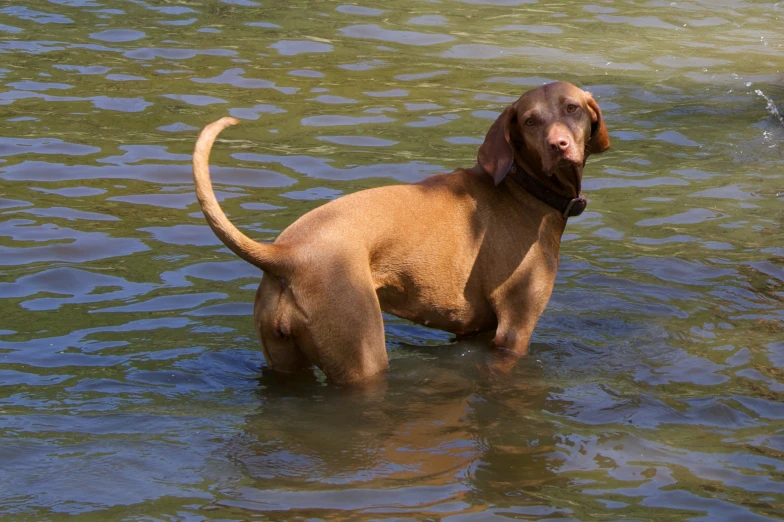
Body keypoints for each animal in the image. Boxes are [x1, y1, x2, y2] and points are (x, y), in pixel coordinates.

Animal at [193, 80, 608, 382]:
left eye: (571, 108)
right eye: (529, 120)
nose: (559, 145)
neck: (522, 189)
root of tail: (287, 254)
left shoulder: (475, 330)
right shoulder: (513, 331)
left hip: (284, 365)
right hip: (362, 357)